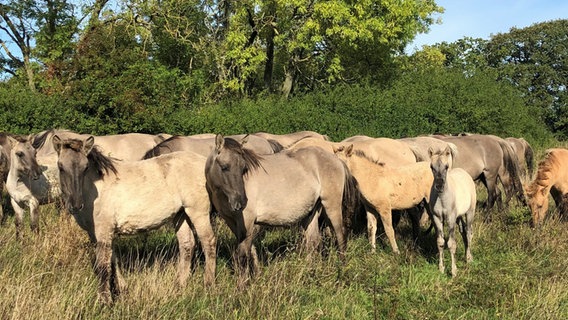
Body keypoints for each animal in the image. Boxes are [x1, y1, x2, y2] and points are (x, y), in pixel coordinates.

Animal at [52, 135, 216, 304]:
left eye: (85, 167)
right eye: (60, 166)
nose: (76, 205)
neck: (94, 190)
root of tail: (204, 163)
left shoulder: (104, 230)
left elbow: (103, 264)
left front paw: (105, 300)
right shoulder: (95, 233)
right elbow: (112, 260)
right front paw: (122, 289)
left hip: (198, 212)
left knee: (208, 242)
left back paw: (209, 284)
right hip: (181, 215)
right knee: (187, 245)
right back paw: (179, 284)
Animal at [203, 134, 356, 284]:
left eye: (244, 169)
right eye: (224, 167)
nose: (241, 202)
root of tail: (336, 159)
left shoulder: (247, 222)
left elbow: (242, 256)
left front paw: (242, 286)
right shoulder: (233, 222)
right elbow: (249, 250)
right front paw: (255, 276)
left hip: (332, 206)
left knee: (341, 236)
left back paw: (342, 270)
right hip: (311, 213)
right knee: (313, 242)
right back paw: (310, 274)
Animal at [428, 146, 478, 278]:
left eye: (446, 166)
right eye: (431, 167)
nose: (439, 185)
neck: (442, 198)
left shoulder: (450, 218)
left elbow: (451, 243)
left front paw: (454, 271)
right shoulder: (437, 218)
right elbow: (440, 242)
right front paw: (441, 268)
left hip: (470, 212)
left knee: (469, 232)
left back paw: (468, 258)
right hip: (458, 217)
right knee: (463, 231)